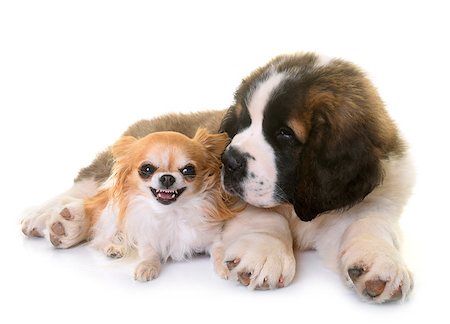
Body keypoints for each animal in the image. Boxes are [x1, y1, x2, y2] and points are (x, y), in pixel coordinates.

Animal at [22, 52, 414, 304]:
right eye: (242, 123)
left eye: (284, 134)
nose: (229, 161)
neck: (297, 204)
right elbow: (265, 219)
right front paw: (264, 255)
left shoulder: (374, 201)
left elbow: (369, 227)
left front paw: (382, 266)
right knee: (90, 189)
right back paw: (52, 218)